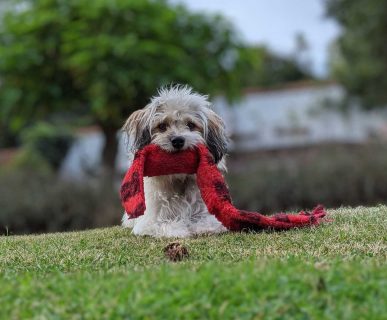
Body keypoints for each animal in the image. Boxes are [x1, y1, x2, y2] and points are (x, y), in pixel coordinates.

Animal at [121, 85, 229, 238]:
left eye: (191, 125)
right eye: (162, 126)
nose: (178, 140)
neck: (178, 182)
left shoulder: (205, 211)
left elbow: (208, 221)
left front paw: (201, 228)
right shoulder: (148, 222)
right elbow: (165, 224)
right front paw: (180, 230)